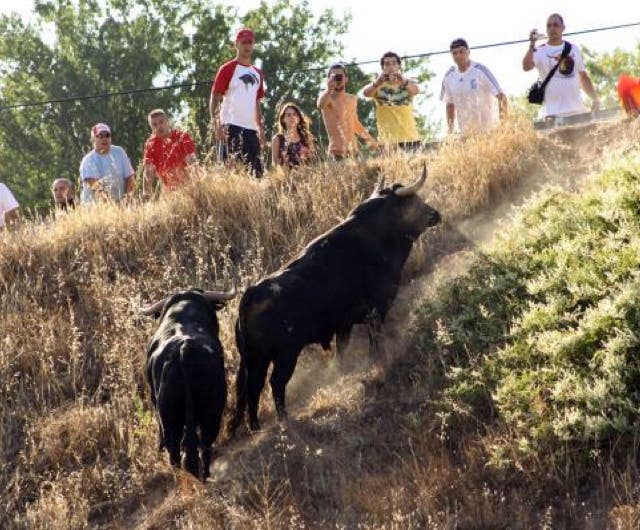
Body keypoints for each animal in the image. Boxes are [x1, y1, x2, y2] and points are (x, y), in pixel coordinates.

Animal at [232, 166, 442, 434]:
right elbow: (374, 343)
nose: (435, 214)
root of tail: (252, 294)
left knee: (254, 389)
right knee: (275, 384)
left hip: (255, 360)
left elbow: (341, 353)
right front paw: (376, 364)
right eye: (414, 201)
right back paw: (284, 420)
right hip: (285, 355)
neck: (378, 236)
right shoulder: (377, 311)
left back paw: (256, 426)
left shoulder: (344, 324)